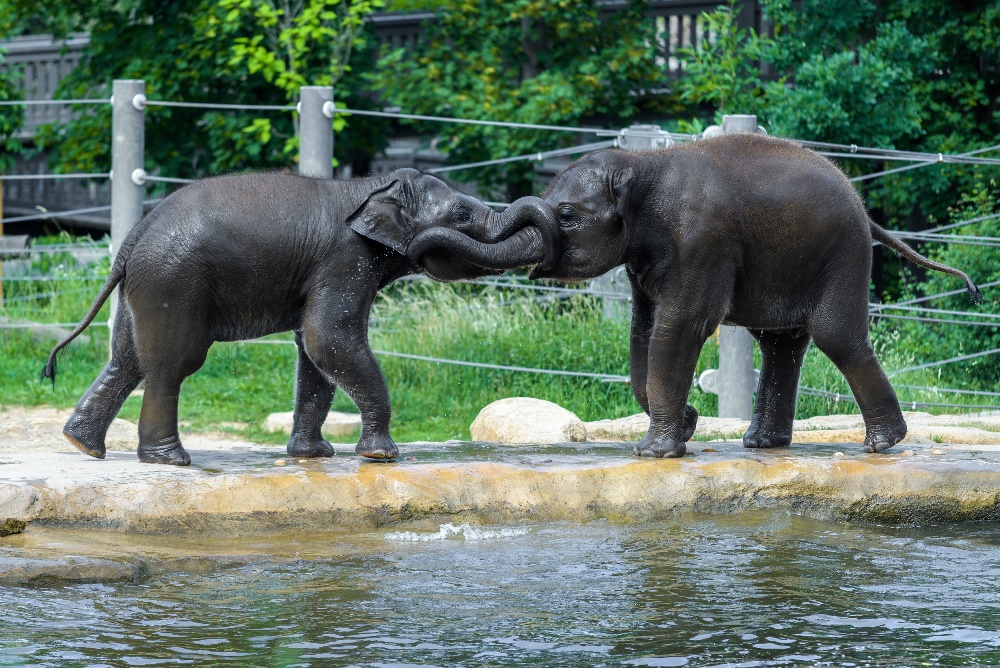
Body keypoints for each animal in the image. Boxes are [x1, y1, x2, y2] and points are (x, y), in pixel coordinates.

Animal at [45, 167, 556, 468]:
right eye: (463, 214)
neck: (369, 186)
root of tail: (132, 239)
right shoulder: (346, 256)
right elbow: (328, 338)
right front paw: (381, 457)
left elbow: (314, 352)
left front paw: (314, 457)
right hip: (173, 280)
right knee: (172, 365)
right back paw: (170, 461)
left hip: (148, 285)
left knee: (125, 360)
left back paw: (83, 446)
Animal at [402, 136, 980, 460]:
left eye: (565, 214)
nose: (416, 253)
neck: (642, 164)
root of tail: (866, 212)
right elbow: (643, 330)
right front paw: (686, 425)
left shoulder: (702, 242)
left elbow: (680, 326)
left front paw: (656, 452)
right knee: (780, 342)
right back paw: (761, 445)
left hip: (842, 254)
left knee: (834, 336)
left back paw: (882, 444)